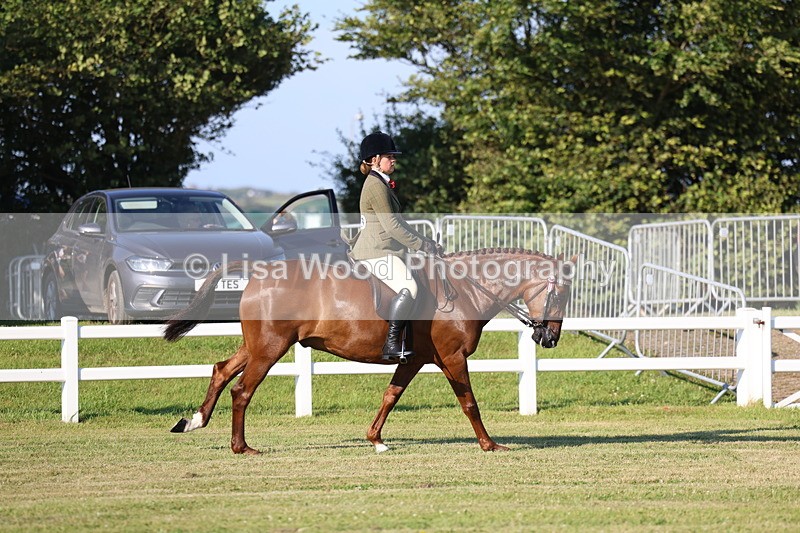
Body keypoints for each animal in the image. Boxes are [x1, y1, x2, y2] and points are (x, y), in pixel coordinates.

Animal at [163, 248, 574, 454]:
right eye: (561, 294)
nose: (550, 339)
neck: (465, 289)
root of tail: (260, 270)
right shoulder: (453, 358)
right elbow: (469, 403)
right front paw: (490, 444)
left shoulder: (416, 360)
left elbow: (391, 396)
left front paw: (375, 440)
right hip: (270, 348)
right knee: (242, 390)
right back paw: (241, 447)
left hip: (258, 345)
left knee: (221, 370)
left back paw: (193, 421)